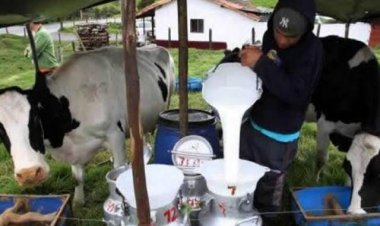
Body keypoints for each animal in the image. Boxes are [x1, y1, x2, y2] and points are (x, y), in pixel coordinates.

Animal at [0, 46, 175, 205]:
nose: (29, 174)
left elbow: (118, 169)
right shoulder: (75, 148)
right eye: (0, 129)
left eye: (36, 116)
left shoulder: (115, 135)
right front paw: (78, 201)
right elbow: (77, 177)